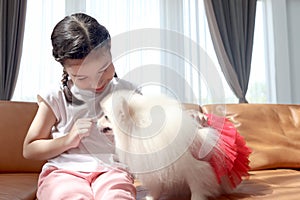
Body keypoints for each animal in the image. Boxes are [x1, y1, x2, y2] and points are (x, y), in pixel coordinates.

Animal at [99, 90, 251, 199]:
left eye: (106, 117)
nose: (96, 121)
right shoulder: (155, 165)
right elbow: (156, 186)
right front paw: (151, 197)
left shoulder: (193, 168)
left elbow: (197, 186)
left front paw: (197, 198)